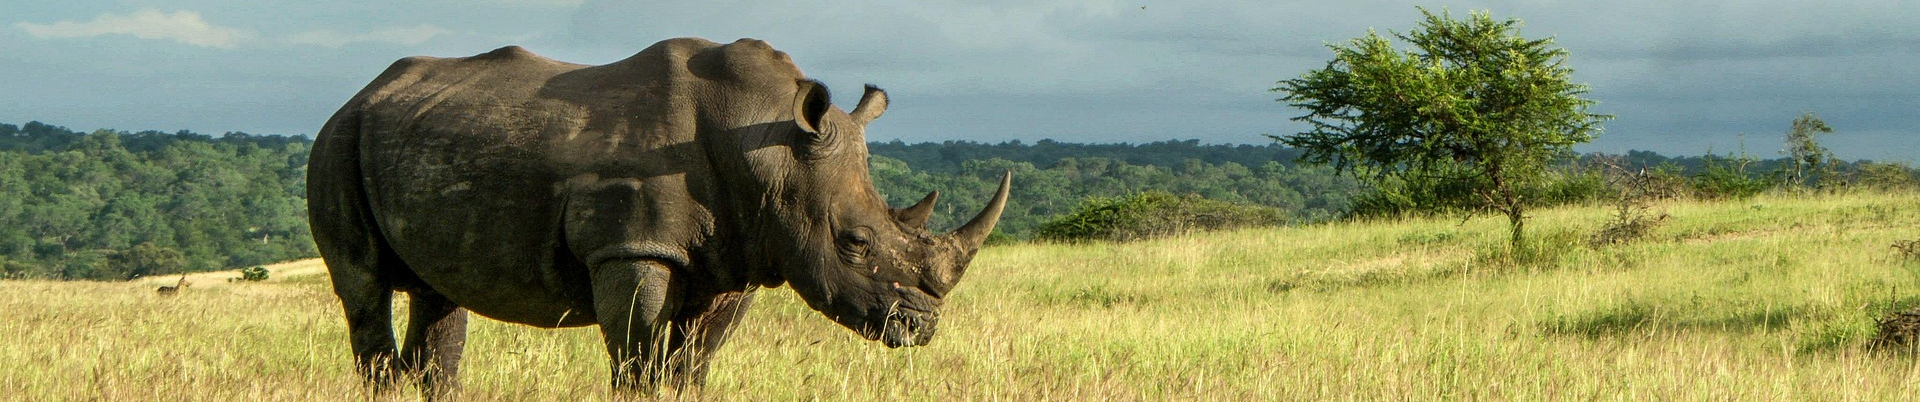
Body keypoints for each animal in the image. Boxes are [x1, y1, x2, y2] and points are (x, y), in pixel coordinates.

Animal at [306, 37, 1010, 393]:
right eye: (855, 242)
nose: (920, 328)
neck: (771, 149)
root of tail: (360, 92)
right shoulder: (632, 248)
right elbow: (638, 363)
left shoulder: (742, 253)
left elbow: (692, 367)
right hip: (336, 143)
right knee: (365, 288)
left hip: (414, 132)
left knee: (439, 293)